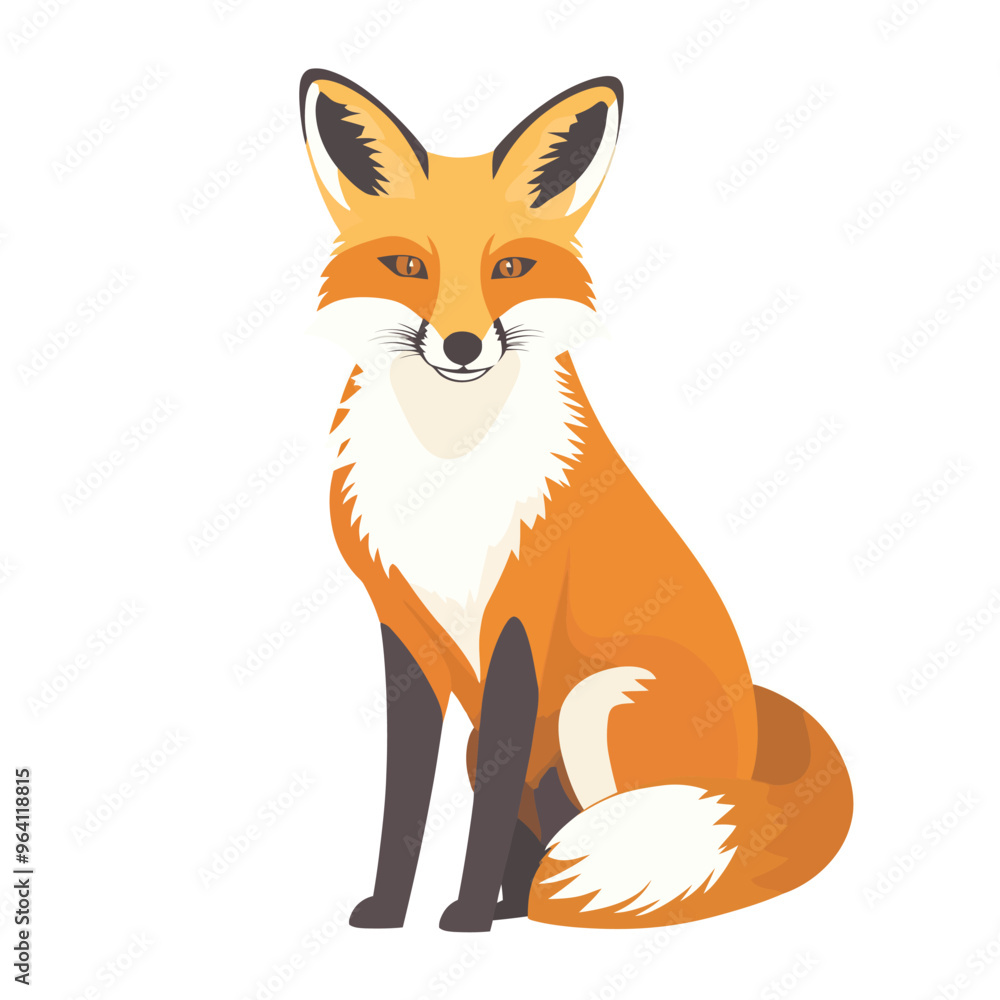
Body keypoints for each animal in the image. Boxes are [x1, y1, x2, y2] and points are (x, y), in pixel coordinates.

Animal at [297, 70, 852, 932]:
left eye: (512, 269)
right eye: (407, 266)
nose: (463, 346)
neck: (446, 474)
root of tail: (756, 740)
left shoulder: (519, 617)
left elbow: (489, 807)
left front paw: (467, 915)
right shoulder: (403, 628)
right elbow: (405, 801)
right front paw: (393, 911)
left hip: (595, 704)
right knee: (545, 831)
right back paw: (523, 902)